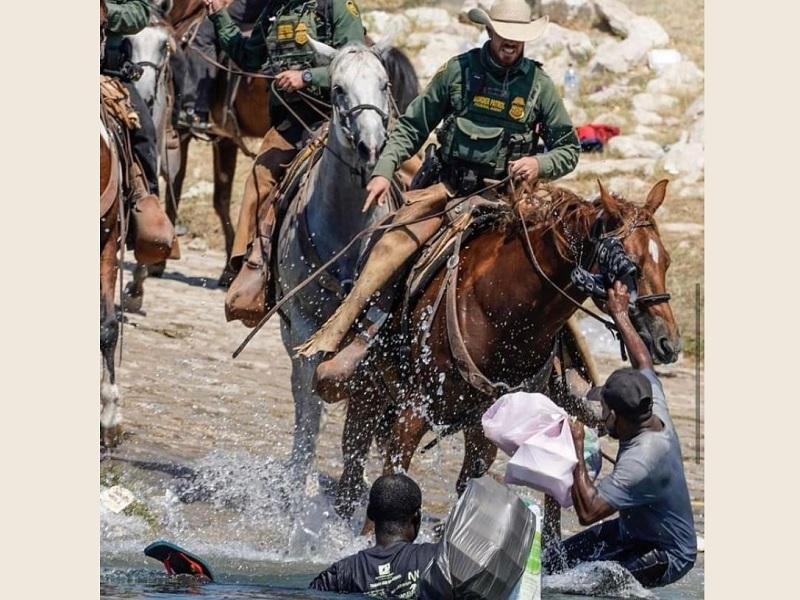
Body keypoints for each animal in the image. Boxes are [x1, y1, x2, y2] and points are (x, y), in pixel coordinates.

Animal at [334, 180, 680, 524]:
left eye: (666, 261)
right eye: (631, 265)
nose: (669, 342)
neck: (503, 310)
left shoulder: (482, 426)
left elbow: (467, 488)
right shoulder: (413, 412)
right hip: (367, 390)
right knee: (350, 470)